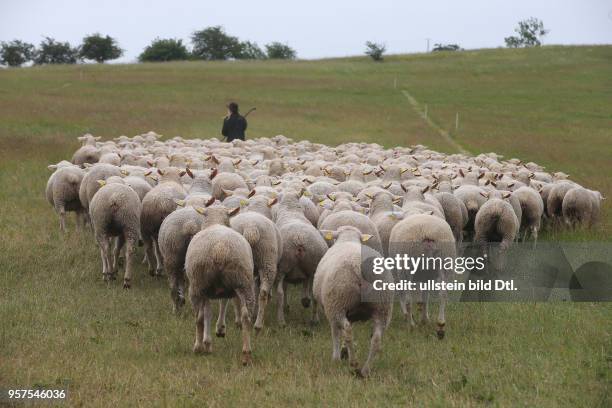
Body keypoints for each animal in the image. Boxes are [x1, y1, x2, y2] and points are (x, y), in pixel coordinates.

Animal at [184, 206, 256, 364]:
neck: (215, 222)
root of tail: (220, 249)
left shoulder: (205, 290)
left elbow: (207, 314)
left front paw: (206, 344)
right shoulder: (224, 290)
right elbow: (220, 305)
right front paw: (216, 334)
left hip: (197, 284)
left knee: (198, 317)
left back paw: (197, 347)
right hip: (244, 282)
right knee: (246, 316)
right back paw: (246, 354)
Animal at [314, 225, 394, 378]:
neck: (348, 238)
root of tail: (360, 267)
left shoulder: (331, 310)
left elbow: (336, 334)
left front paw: (336, 357)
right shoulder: (351, 313)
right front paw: (344, 351)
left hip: (338, 303)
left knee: (347, 330)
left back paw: (354, 364)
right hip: (382, 307)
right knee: (376, 339)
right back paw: (365, 370)